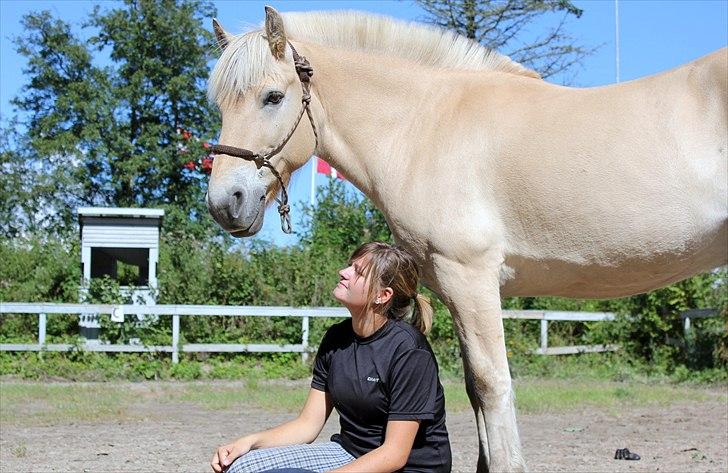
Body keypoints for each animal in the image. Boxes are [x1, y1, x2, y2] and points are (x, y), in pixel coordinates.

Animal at [205, 7, 728, 472]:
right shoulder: (455, 291)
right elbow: (475, 391)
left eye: (273, 97)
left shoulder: (471, 279)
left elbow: (493, 384)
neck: (423, 126)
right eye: (221, 105)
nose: (225, 202)